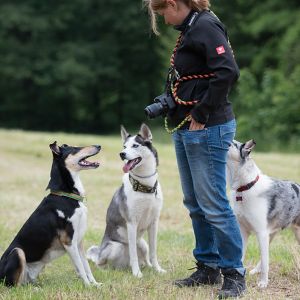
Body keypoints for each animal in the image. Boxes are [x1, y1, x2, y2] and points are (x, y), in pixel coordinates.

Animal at [0, 142, 101, 288]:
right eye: (75, 148)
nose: (99, 146)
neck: (66, 196)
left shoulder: (79, 241)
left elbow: (86, 266)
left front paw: (95, 284)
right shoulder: (69, 241)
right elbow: (81, 268)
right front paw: (88, 286)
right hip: (17, 252)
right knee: (12, 286)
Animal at [86, 123, 166, 276]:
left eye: (135, 145)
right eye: (124, 146)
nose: (121, 154)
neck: (144, 187)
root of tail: (123, 266)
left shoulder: (154, 223)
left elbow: (154, 252)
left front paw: (158, 269)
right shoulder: (131, 223)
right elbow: (133, 253)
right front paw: (137, 274)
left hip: (143, 244)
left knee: (146, 257)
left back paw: (148, 267)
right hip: (115, 247)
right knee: (101, 263)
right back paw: (110, 270)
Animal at [227, 141, 300, 288]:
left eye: (231, 143)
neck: (245, 187)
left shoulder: (261, 233)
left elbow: (266, 261)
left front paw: (263, 283)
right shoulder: (244, 232)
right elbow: (242, 255)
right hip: (272, 234)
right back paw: (256, 269)